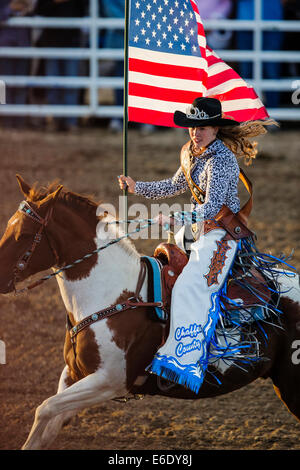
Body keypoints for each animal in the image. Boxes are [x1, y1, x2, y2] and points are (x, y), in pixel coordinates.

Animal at [0, 174, 298, 450]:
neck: (113, 294)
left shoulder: (109, 381)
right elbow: (49, 424)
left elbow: (45, 408)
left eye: (23, 234)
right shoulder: (75, 373)